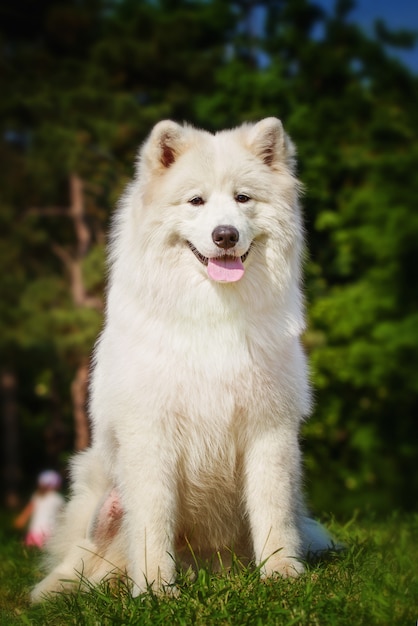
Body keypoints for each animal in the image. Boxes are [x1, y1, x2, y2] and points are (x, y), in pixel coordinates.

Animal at [31, 117, 334, 600]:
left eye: (243, 198)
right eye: (196, 200)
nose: (225, 235)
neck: (213, 313)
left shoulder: (269, 430)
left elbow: (272, 511)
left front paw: (280, 572)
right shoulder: (150, 434)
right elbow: (153, 522)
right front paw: (156, 590)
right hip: (95, 472)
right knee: (87, 559)